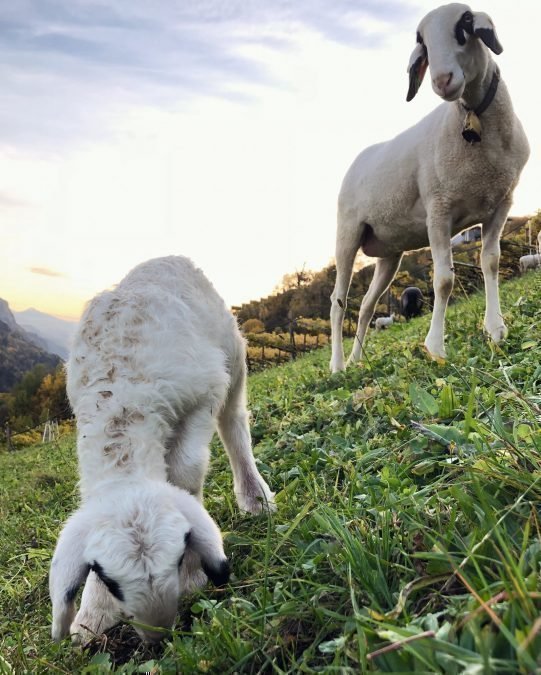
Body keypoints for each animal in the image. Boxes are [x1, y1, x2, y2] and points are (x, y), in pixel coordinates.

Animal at [50, 258, 274, 644]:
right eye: (106, 576)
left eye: (180, 554)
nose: (157, 635)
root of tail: (165, 259)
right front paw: (92, 614)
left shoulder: (203, 394)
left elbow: (186, 470)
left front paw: (194, 575)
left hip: (233, 357)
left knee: (234, 424)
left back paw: (255, 496)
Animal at [330, 2, 528, 372]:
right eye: (422, 41)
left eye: (465, 24)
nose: (442, 80)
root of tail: (359, 158)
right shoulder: (438, 210)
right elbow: (444, 280)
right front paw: (435, 348)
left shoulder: (501, 204)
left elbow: (490, 262)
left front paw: (495, 330)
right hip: (347, 233)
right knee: (339, 301)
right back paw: (337, 366)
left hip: (389, 253)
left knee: (365, 306)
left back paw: (357, 359)